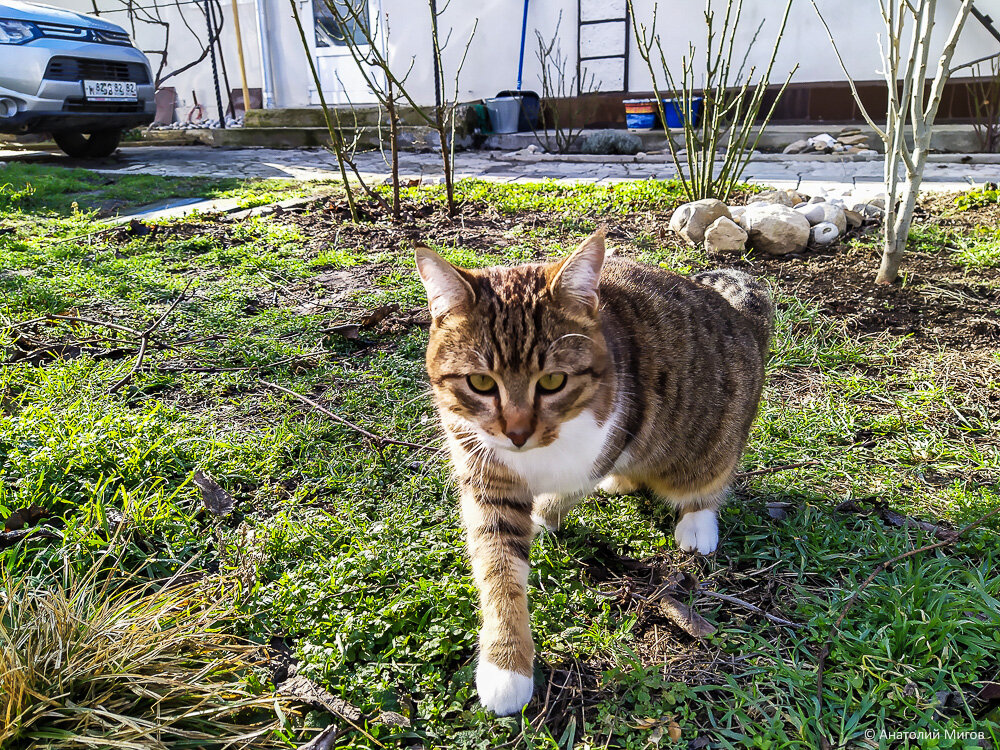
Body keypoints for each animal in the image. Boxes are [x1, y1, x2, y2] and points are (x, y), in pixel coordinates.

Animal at [414, 232, 772, 720]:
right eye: (481, 384)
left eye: (553, 381)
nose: (517, 433)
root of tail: (745, 318)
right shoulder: (485, 469)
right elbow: (499, 565)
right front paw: (506, 665)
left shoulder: (612, 439)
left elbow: (569, 488)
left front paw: (545, 513)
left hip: (711, 439)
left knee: (706, 478)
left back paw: (698, 521)